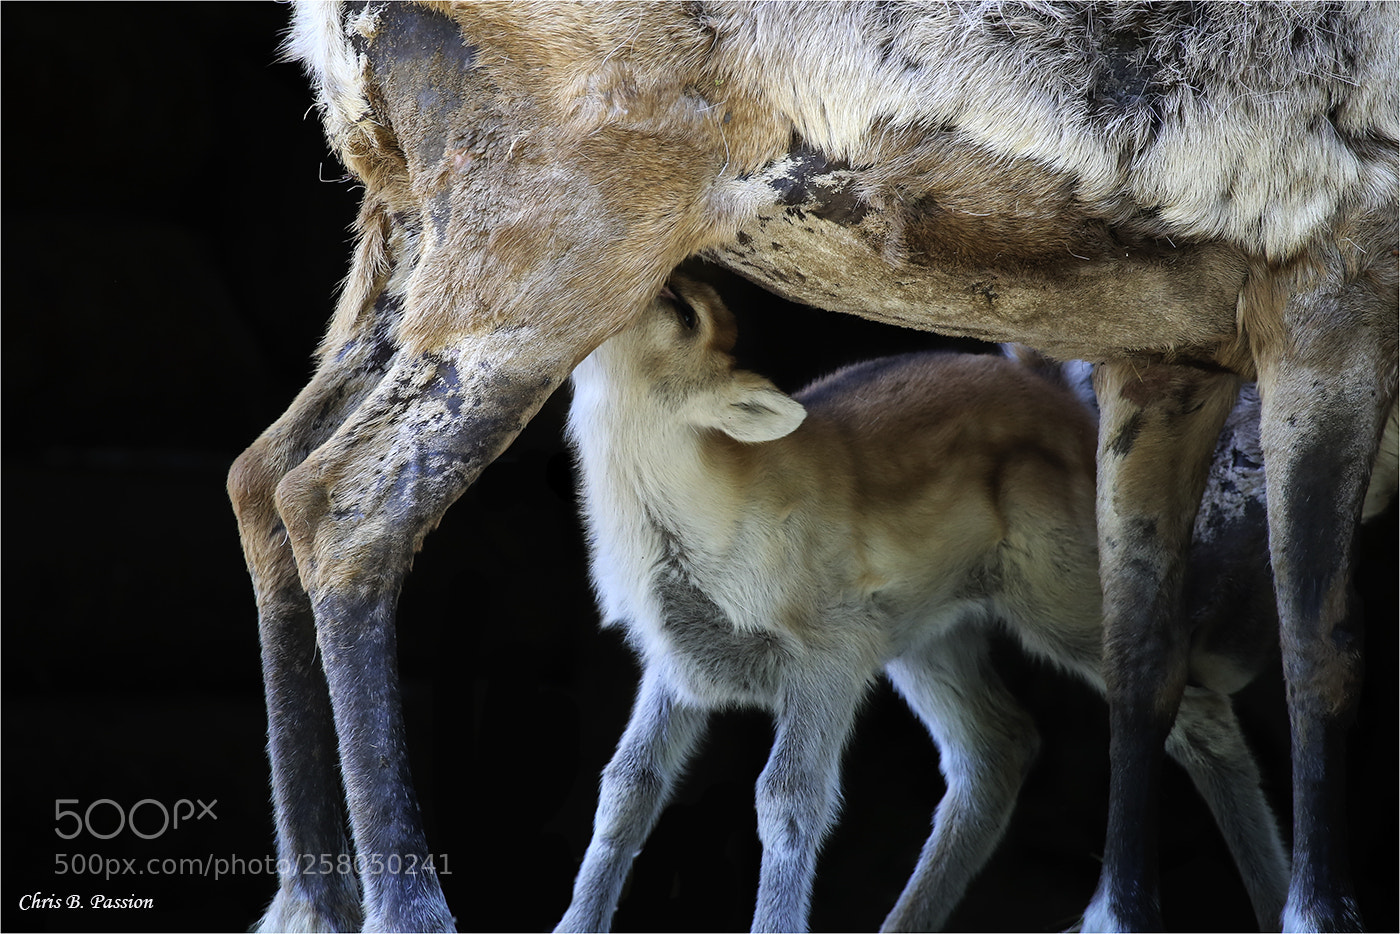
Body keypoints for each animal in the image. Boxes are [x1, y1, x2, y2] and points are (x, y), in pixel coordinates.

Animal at [557, 273, 1298, 933]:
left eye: (685, 314)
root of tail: (1061, 398)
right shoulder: (674, 667)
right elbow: (626, 789)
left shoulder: (828, 661)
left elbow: (788, 800)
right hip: (927, 640)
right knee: (995, 748)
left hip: (1065, 602)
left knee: (1191, 711)